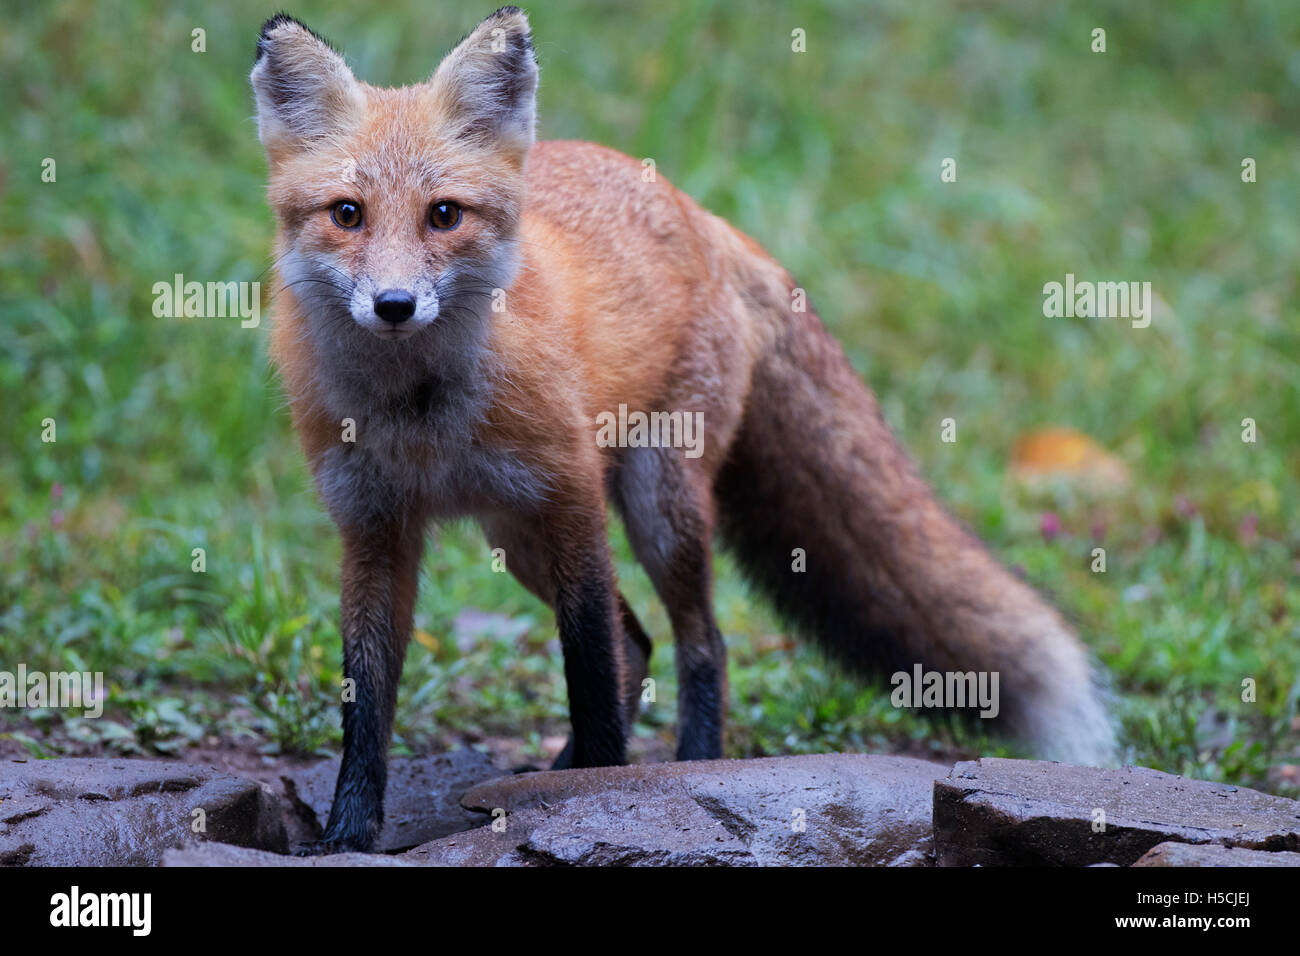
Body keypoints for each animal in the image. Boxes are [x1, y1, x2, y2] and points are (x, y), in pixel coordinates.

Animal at [248, 7, 1112, 853]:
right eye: (348, 215)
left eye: (444, 216)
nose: (394, 305)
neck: (423, 415)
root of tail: (702, 214)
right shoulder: (373, 529)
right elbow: (366, 702)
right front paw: (346, 832)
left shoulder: (573, 499)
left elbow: (589, 667)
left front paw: (593, 794)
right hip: (515, 533)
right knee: (640, 642)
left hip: (657, 506)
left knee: (699, 642)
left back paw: (690, 765)